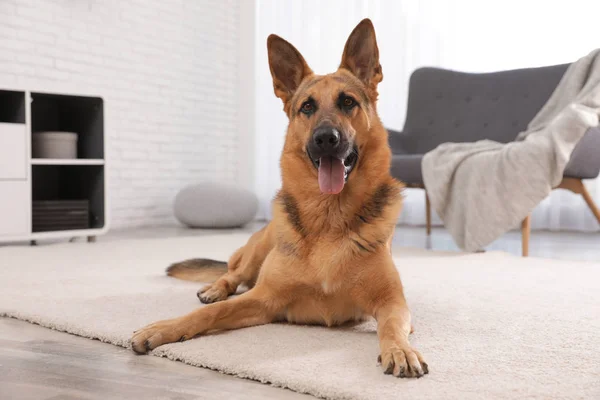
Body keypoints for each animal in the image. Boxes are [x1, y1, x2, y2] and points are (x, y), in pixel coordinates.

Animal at [134, 18, 428, 378]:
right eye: (307, 107)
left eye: (347, 102)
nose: (325, 139)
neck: (328, 217)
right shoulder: (264, 299)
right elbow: (209, 314)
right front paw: (163, 328)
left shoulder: (392, 303)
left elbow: (392, 326)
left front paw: (400, 350)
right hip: (260, 247)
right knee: (232, 274)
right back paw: (215, 288)